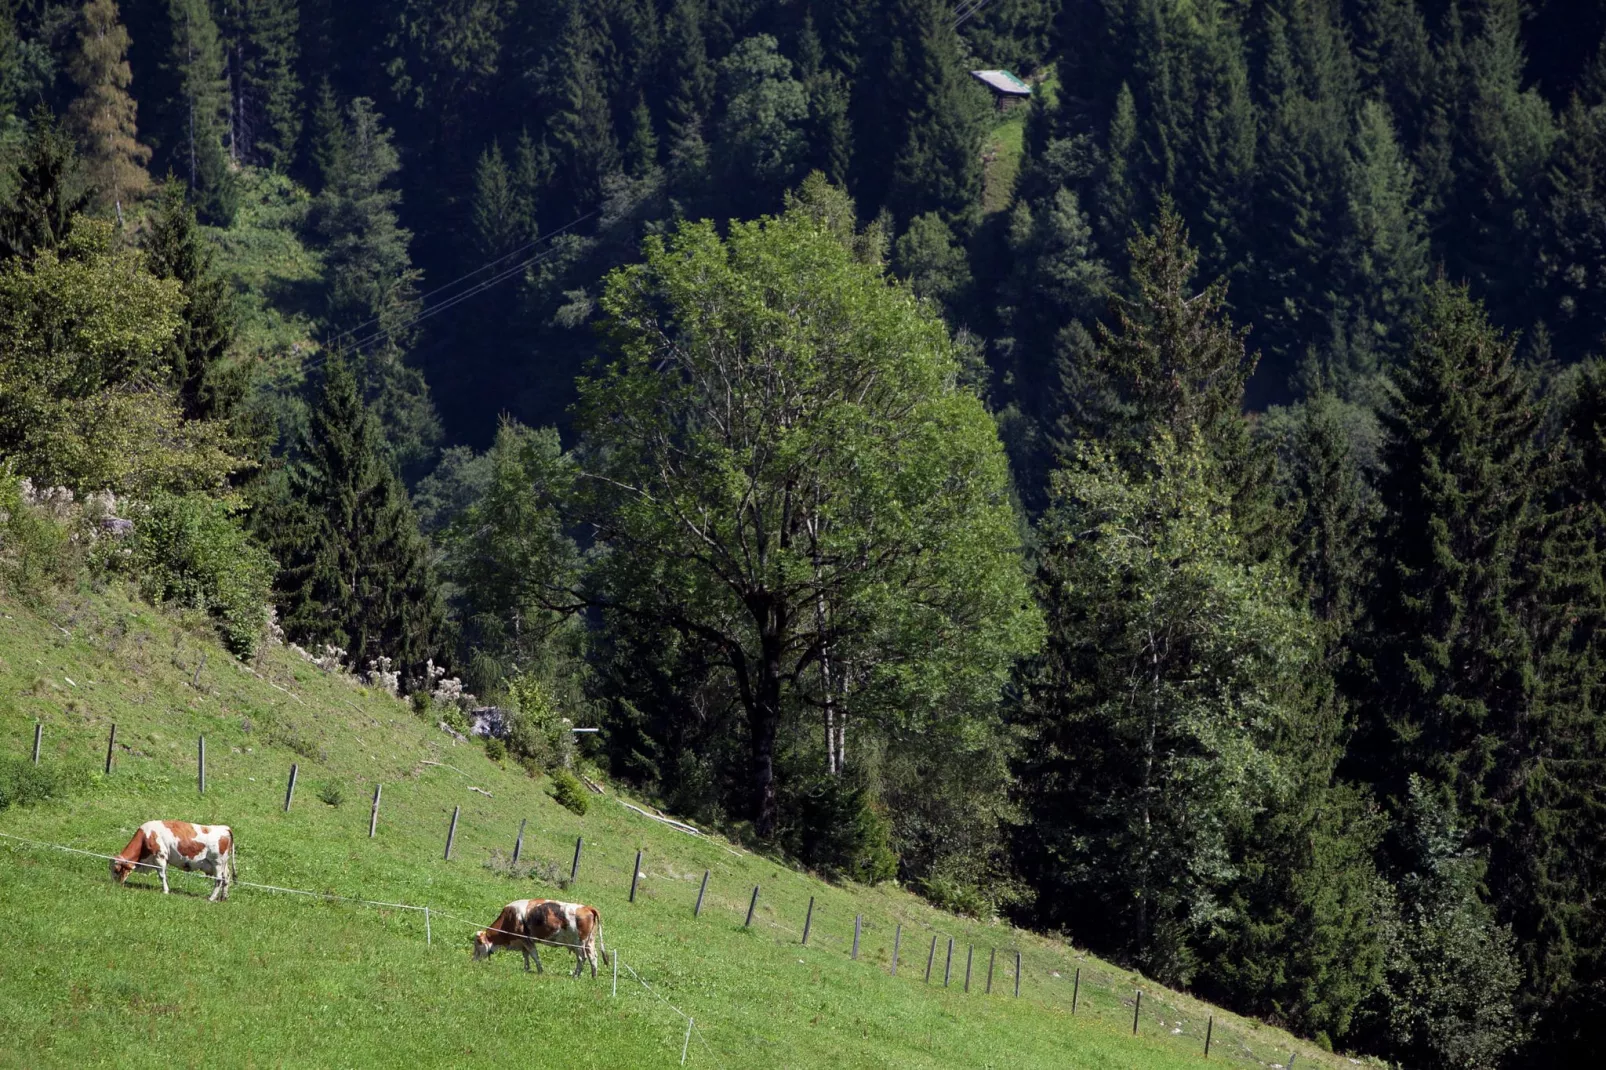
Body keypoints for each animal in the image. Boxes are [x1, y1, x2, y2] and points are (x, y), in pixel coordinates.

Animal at [472, 893, 610, 976]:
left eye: (478, 944)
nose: (472, 960)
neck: (510, 917)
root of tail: (587, 908)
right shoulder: (522, 942)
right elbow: (526, 955)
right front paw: (526, 969)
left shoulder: (526, 939)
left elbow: (534, 955)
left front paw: (539, 970)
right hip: (589, 942)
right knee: (593, 957)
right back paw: (593, 976)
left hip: (579, 943)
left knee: (582, 958)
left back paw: (576, 976)